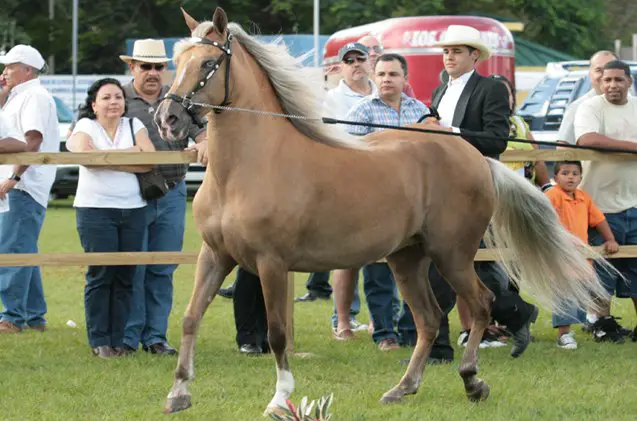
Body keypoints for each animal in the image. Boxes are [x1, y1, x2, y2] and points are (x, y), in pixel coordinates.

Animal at [153, 7, 608, 416]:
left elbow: (278, 333)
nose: (167, 117)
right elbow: (190, 317)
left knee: (479, 303)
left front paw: (279, 400)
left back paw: (472, 380)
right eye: (178, 60)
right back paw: (402, 388)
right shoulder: (216, 255)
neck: (245, 169)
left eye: (208, 63)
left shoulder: (271, 264)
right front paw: (178, 395)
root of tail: (476, 157)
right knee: (428, 319)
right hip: (407, 258)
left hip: (452, 255)